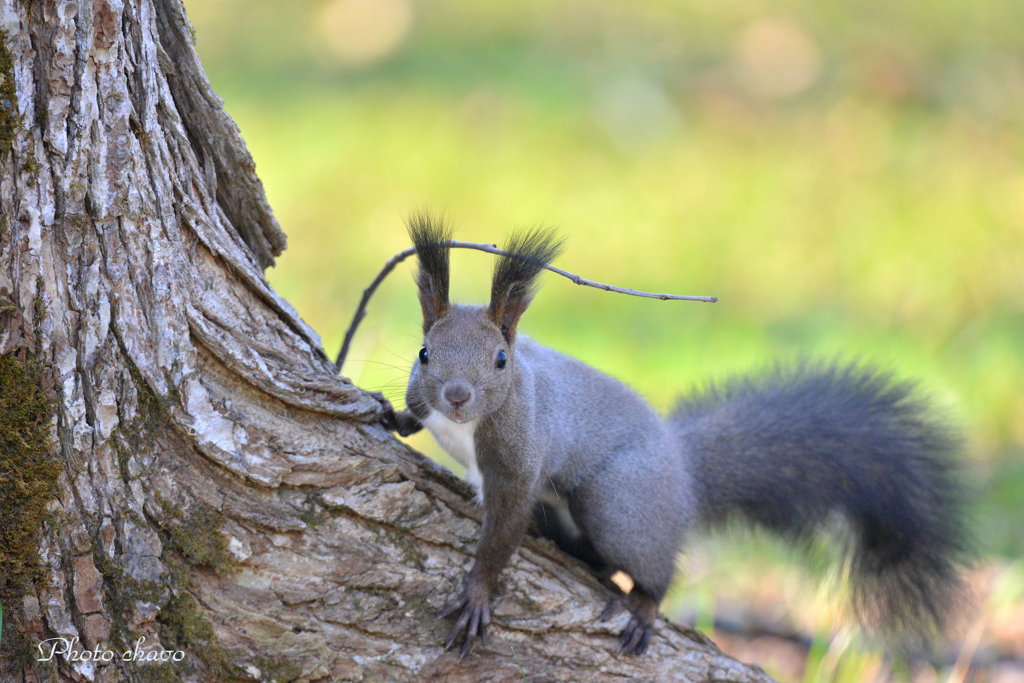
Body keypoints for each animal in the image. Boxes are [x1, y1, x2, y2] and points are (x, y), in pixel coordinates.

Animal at [376, 216, 966, 659]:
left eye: (500, 360)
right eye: (424, 353)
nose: (456, 395)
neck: (465, 426)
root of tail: (683, 470)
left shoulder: (520, 456)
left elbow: (503, 533)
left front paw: (477, 593)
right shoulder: (424, 397)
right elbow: (413, 414)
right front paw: (387, 414)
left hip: (620, 504)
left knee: (651, 565)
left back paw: (643, 605)